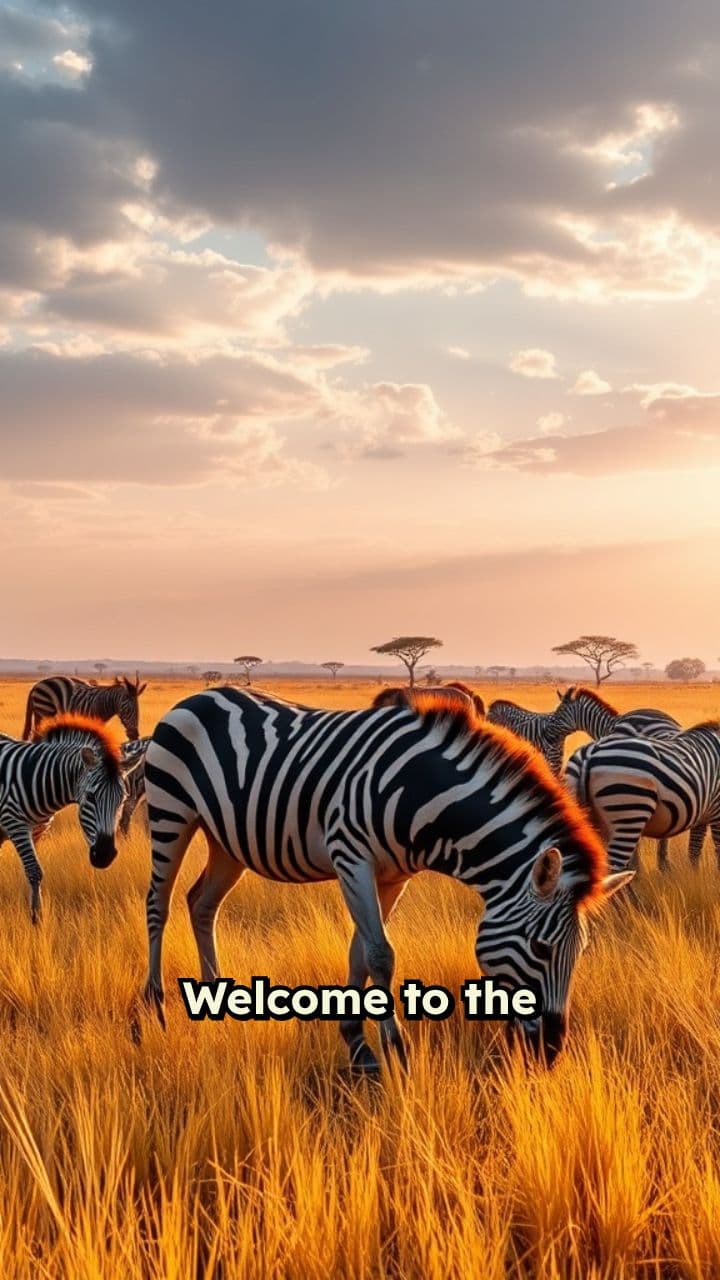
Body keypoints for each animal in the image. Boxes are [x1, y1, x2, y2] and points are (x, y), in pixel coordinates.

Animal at [0, 713, 131, 922]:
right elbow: (34, 871)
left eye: (123, 799)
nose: (105, 856)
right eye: (90, 797)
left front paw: (36, 918)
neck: (36, 778)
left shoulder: (37, 831)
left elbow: (33, 875)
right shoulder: (15, 824)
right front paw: (37, 919)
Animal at [142, 686, 631, 1071]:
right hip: (171, 812)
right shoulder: (350, 856)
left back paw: (214, 1001)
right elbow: (380, 956)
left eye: (581, 952)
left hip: (227, 839)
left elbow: (360, 951)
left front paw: (357, 1045)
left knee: (202, 904)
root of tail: (197, 697)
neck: (423, 793)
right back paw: (155, 1008)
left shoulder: (393, 877)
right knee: (158, 904)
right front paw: (396, 1051)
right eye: (541, 948)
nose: (549, 1055)